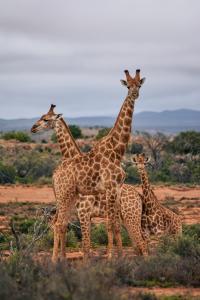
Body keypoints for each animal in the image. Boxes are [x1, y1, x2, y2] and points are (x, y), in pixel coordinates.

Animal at [30, 68, 145, 260]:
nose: (33, 128)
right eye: (128, 86)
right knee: (58, 224)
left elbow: (111, 227)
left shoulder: (112, 190)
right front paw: (110, 258)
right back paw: (55, 261)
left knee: (140, 241)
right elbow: (92, 239)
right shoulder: (90, 205)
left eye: (139, 85)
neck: (116, 151)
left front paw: (116, 258)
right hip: (65, 196)